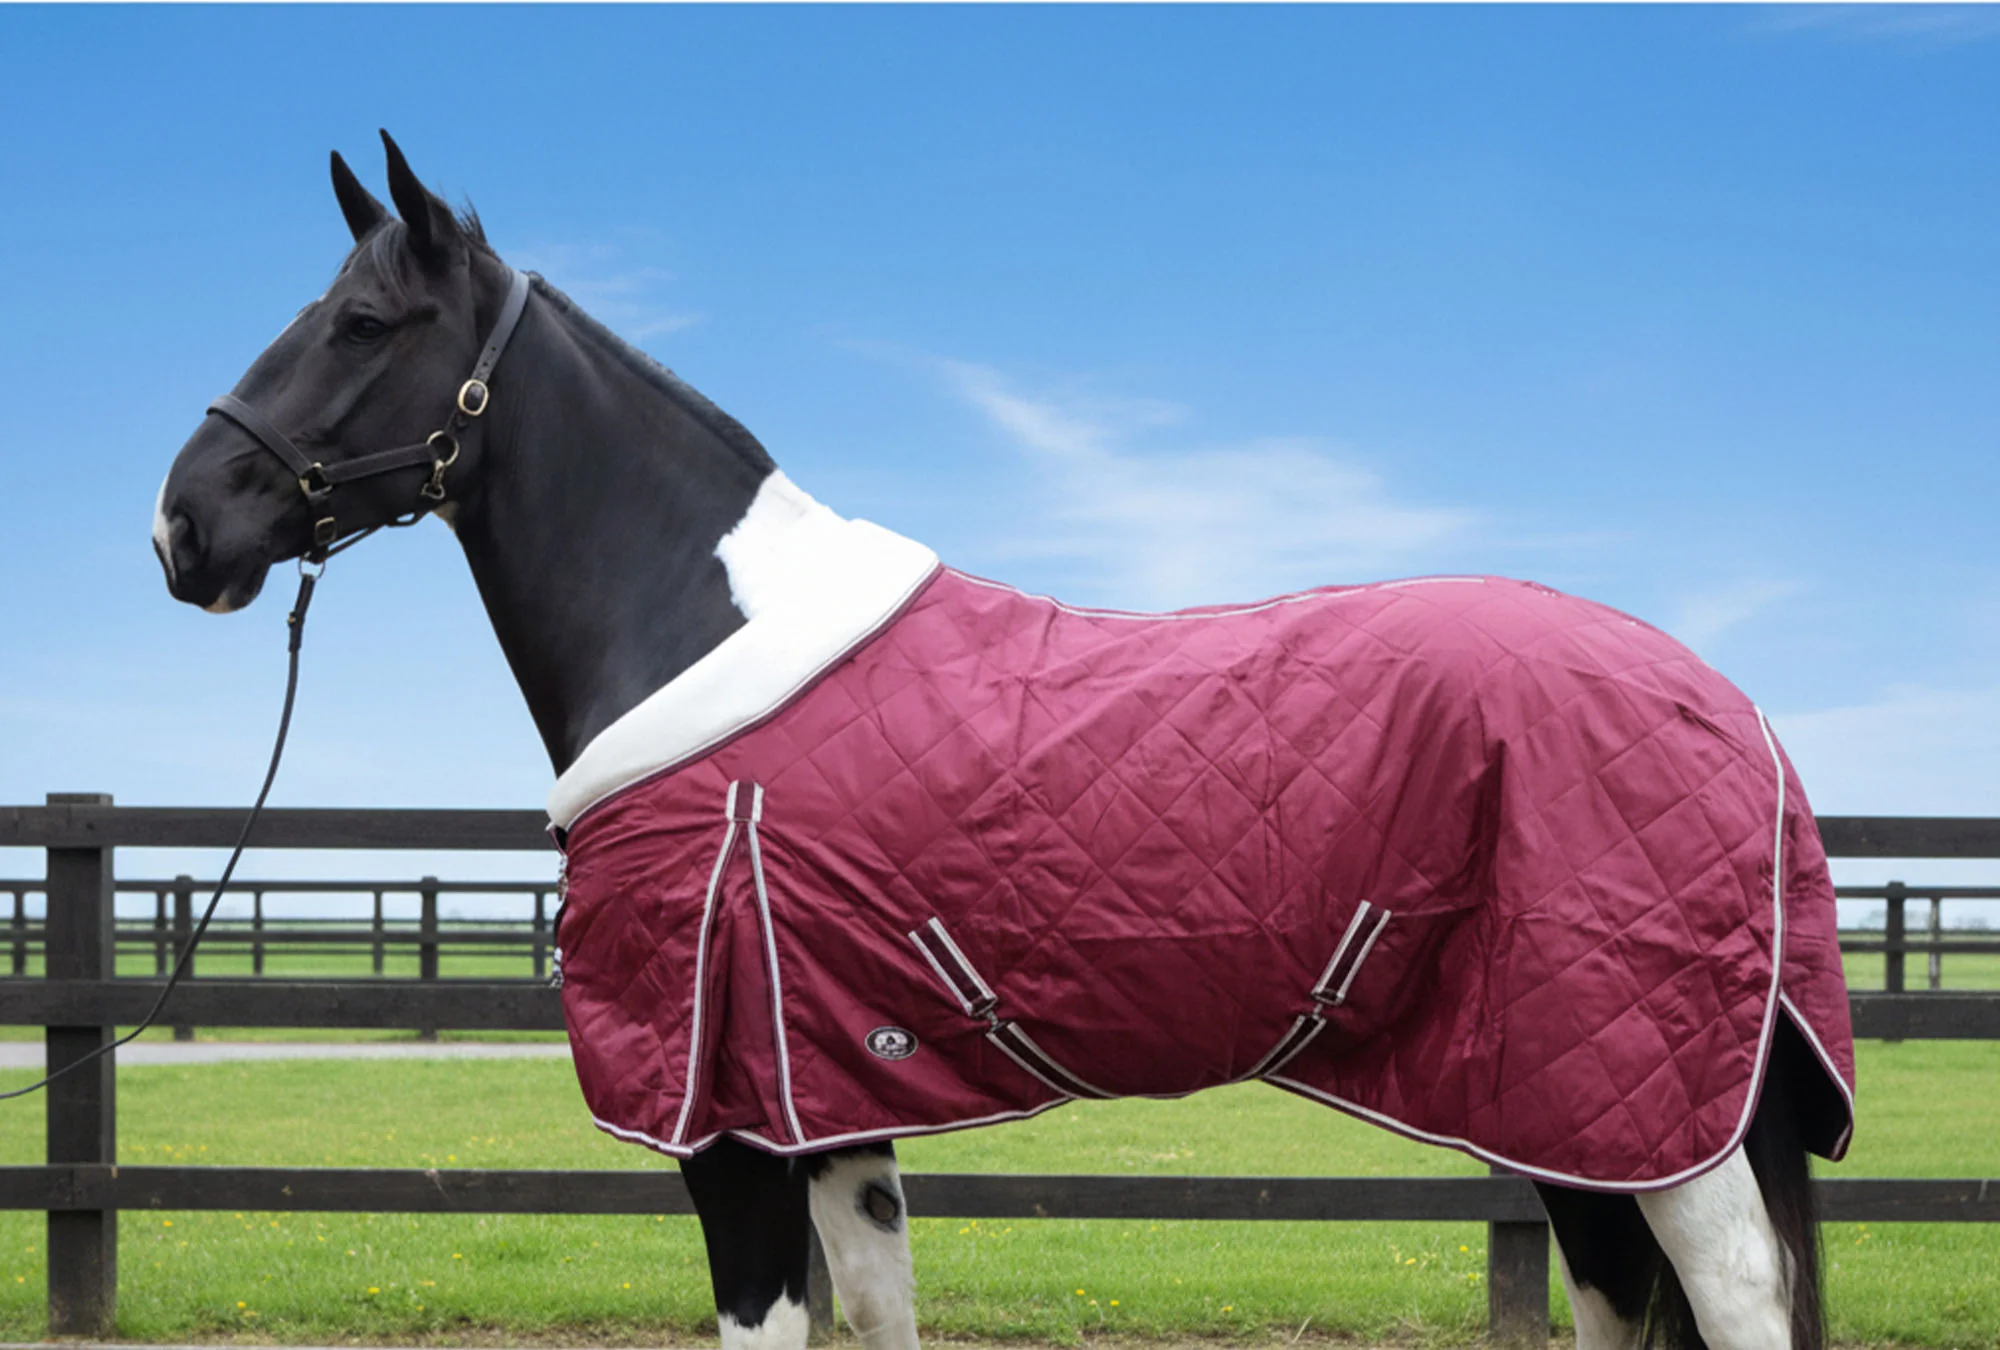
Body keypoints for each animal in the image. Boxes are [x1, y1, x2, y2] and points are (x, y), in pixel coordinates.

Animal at [154, 134, 1855, 1350]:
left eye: (361, 321)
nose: (184, 525)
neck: (698, 622)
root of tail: (1735, 706)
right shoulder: (830, 1100)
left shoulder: (729, 1125)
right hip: (1570, 1102)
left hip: (1658, 1106)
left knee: (1736, 1294)